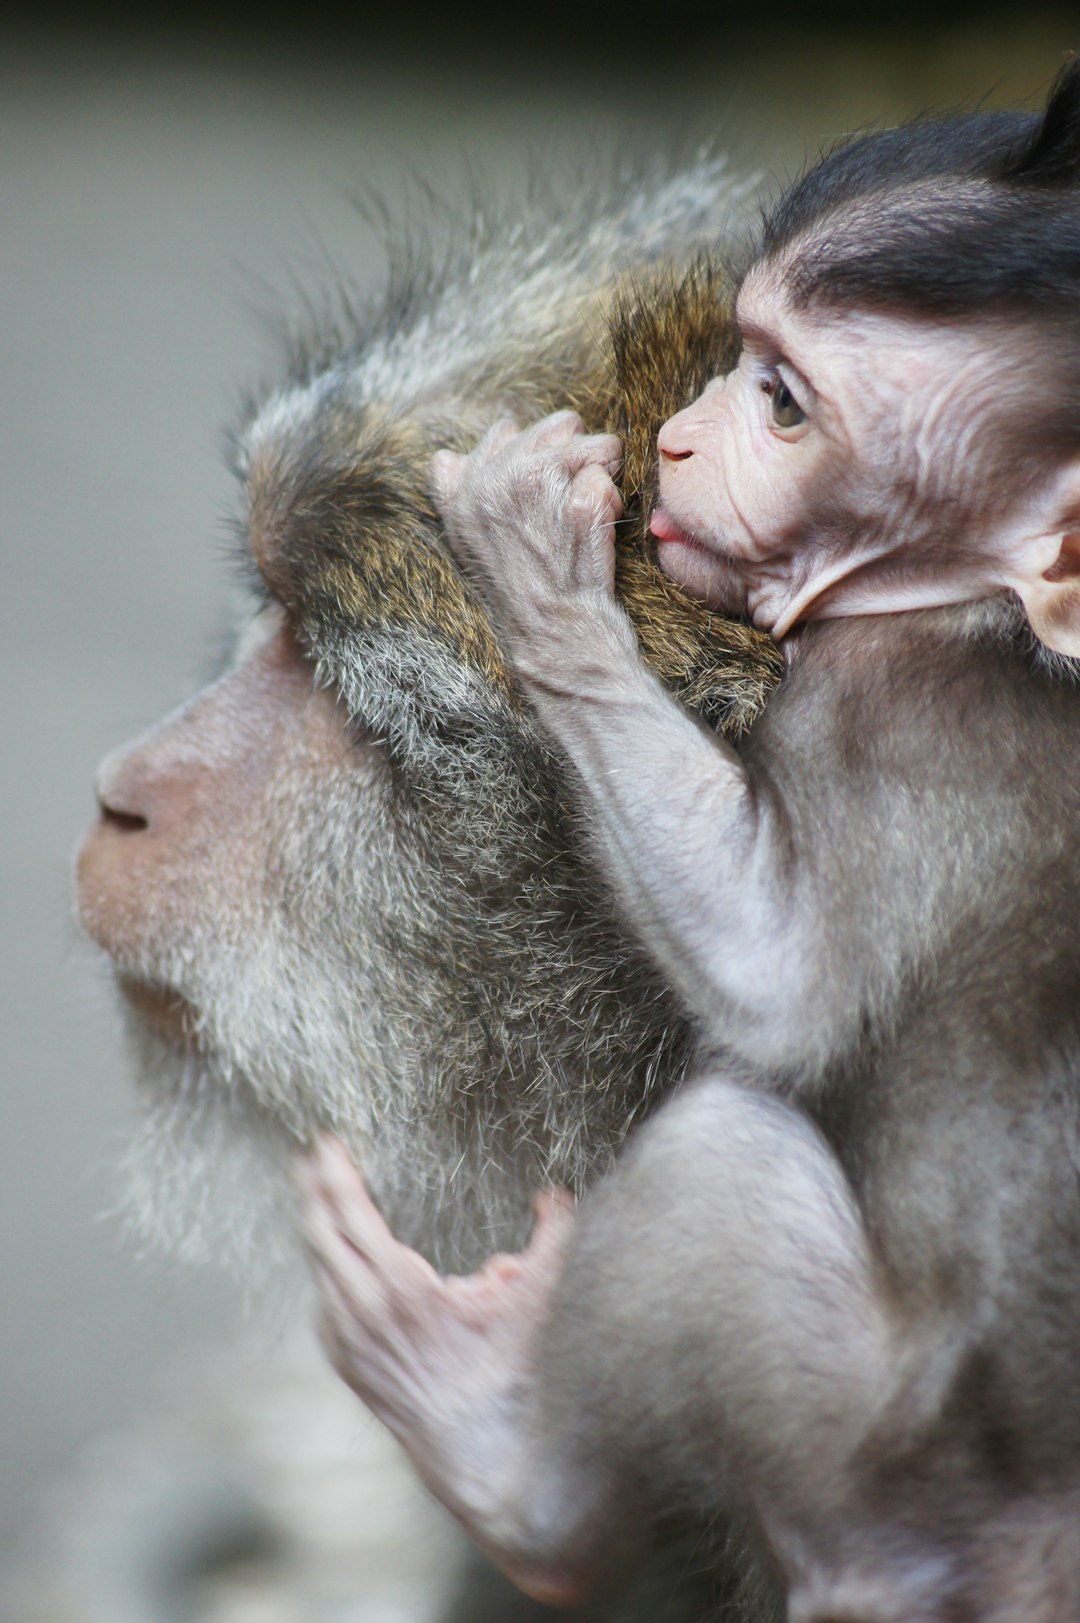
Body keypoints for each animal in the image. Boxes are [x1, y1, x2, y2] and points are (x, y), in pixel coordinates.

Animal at [298, 57, 1078, 1616]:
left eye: (780, 402)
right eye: (742, 361)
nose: (673, 441)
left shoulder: (895, 705)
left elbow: (778, 983)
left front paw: (536, 571)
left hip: (881, 1470)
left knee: (721, 1158)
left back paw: (509, 1471)